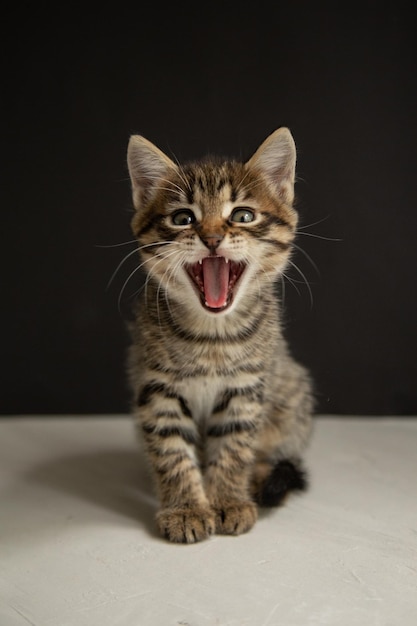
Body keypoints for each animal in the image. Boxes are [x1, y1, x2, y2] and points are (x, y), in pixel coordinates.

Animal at [127, 128, 312, 540]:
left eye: (242, 215)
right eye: (183, 218)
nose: (211, 237)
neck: (212, 337)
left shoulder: (246, 387)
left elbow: (234, 447)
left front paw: (228, 499)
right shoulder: (157, 388)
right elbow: (171, 451)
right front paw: (186, 508)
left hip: (293, 393)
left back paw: (259, 479)